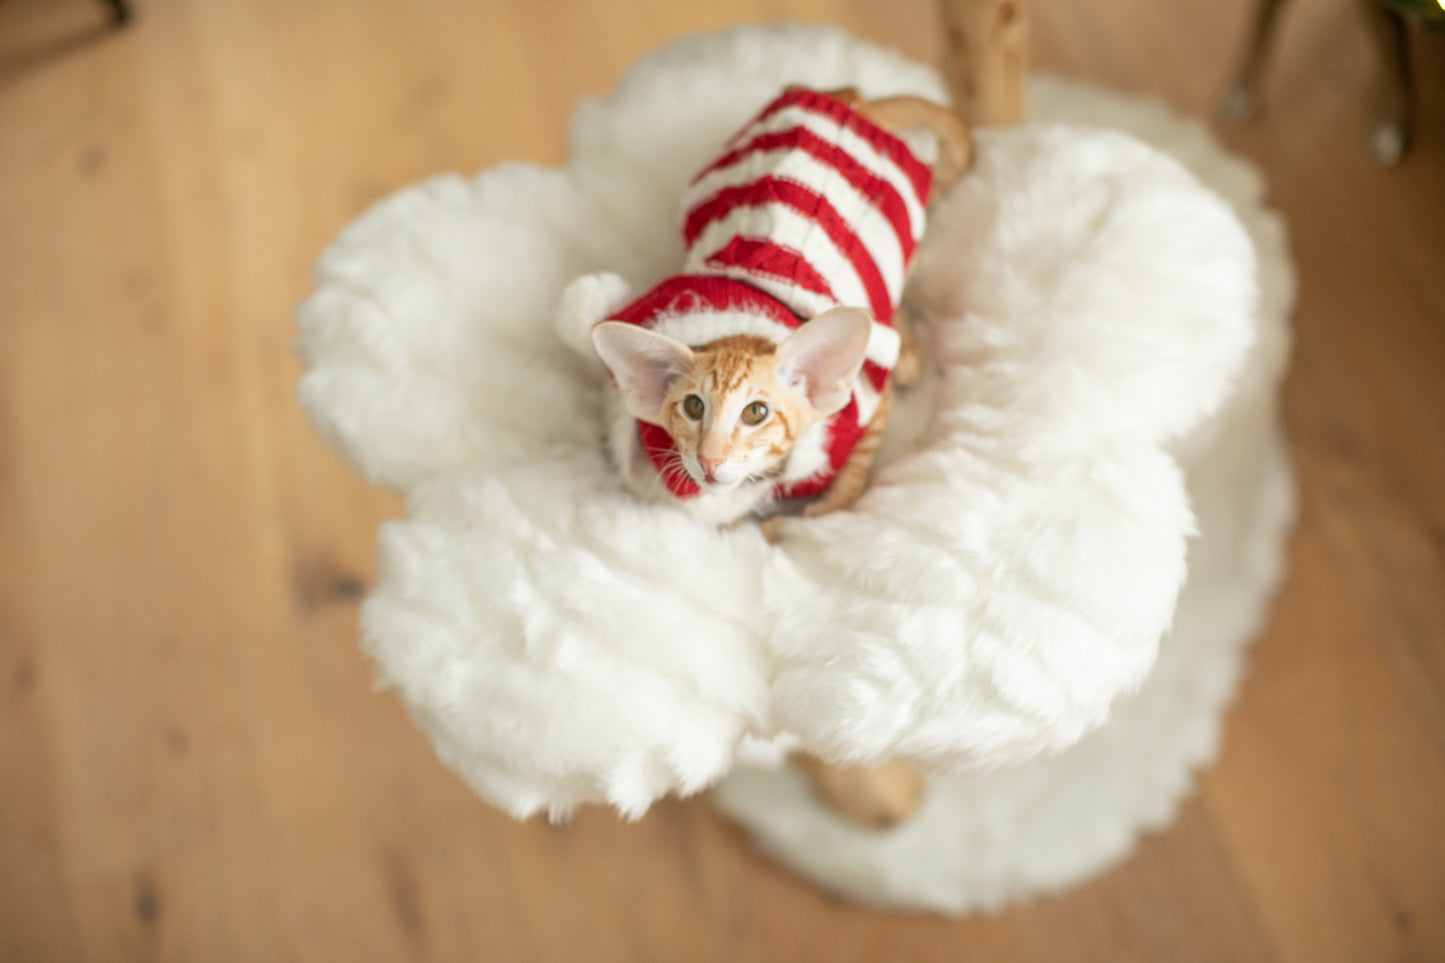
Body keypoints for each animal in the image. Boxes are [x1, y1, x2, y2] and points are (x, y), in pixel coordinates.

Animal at [557, 85, 976, 535]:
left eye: (755, 413)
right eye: (693, 407)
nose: (709, 460)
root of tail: (848, 100)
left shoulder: (868, 399)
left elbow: (852, 476)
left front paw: (815, 516)